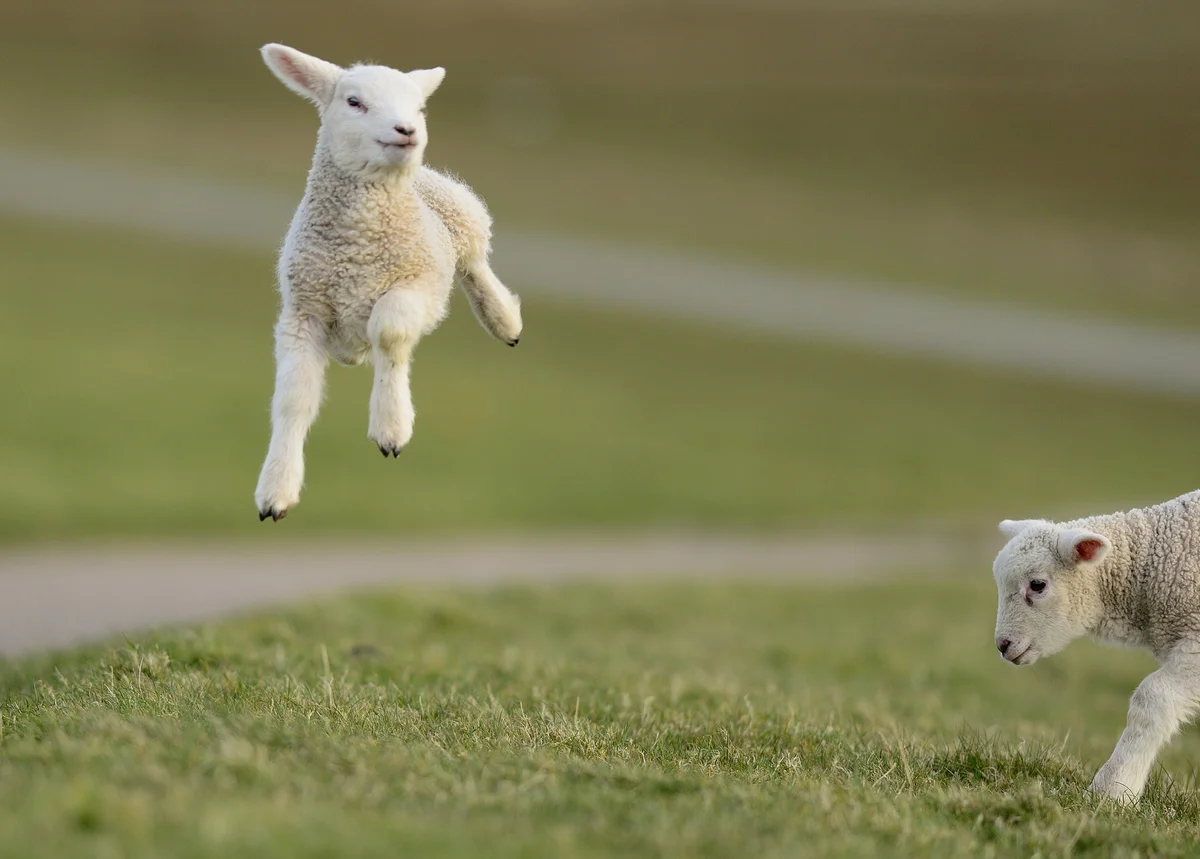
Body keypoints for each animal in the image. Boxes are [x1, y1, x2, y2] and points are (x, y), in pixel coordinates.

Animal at [253, 44, 523, 522]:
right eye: (353, 102)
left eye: (419, 106)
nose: (407, 131)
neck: (357, 245)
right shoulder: (303, 312)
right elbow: (293, 399)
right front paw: (276, 489)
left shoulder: (417, 285)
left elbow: (390, 331)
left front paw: (391, 426)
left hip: (460, 214)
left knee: (474, 265)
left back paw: (505, 321)